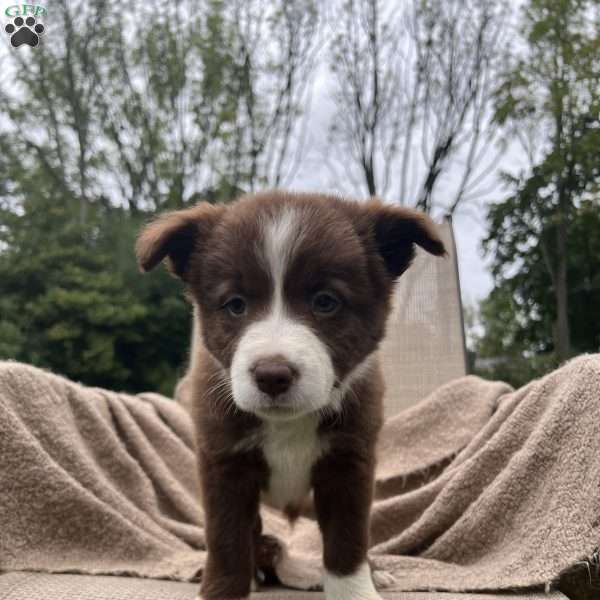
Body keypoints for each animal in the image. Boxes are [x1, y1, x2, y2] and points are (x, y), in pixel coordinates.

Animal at [136, 190, 446, 596]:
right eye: (235, 305)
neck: (288, 422)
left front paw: (356, 591)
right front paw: (225, 590)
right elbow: (227, 539)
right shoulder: (223, 461)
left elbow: (348, 539)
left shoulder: (350, 461)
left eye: (326, 301)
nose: (272, 376)